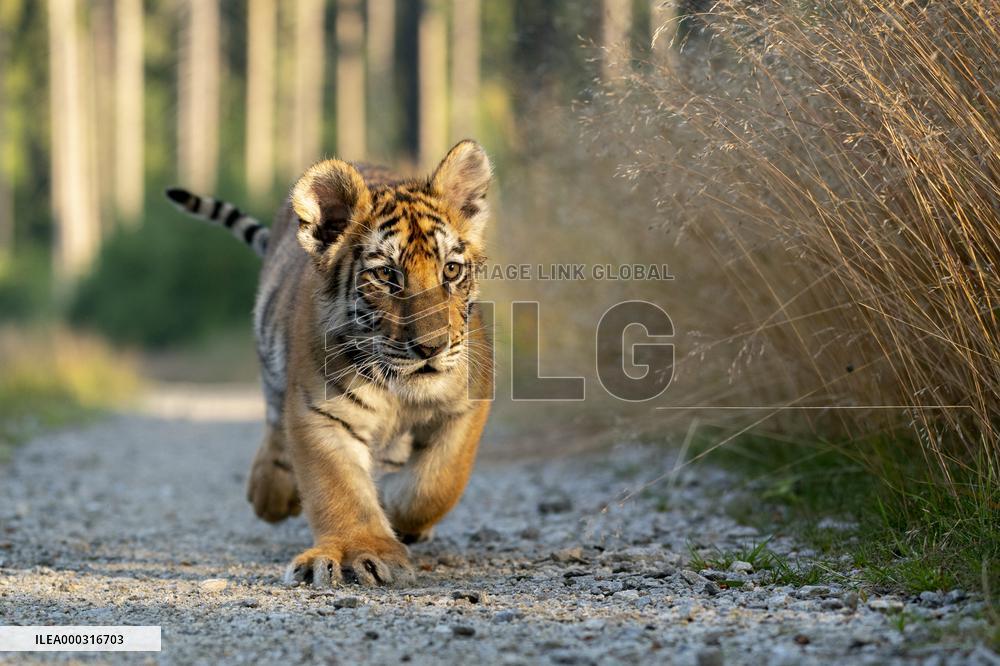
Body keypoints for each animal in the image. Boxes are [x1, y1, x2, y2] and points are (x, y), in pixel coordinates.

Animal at [165, 140, 494, 587]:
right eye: (386, 276)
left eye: (452, 270)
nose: (431, 348)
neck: (397, 392)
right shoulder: (319, 411)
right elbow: (339, 487)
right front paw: (369, 551)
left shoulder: (469, 401)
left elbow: (438, 481)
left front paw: (400, 516)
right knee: (274, 425)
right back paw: (270, 492)